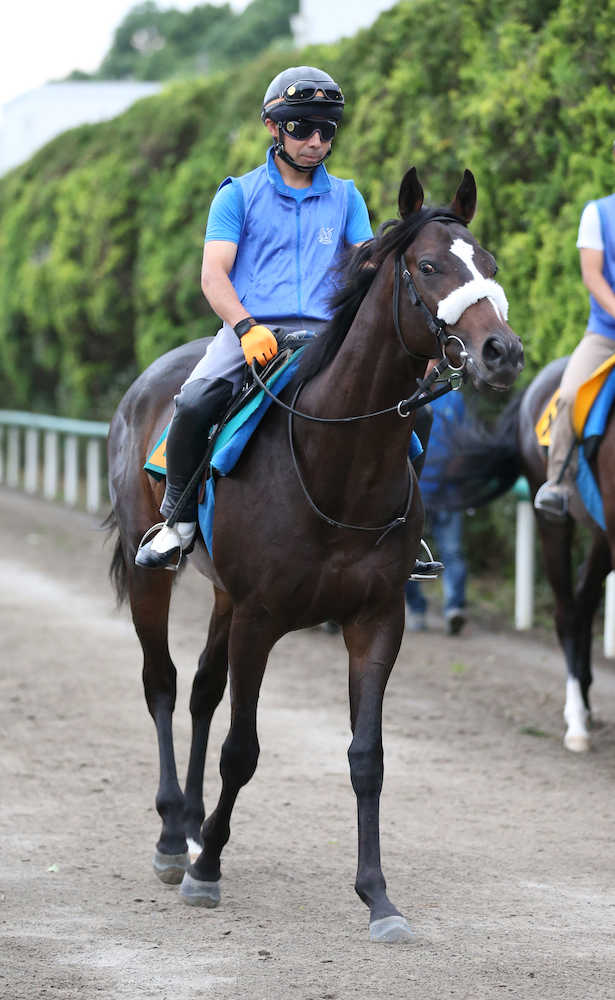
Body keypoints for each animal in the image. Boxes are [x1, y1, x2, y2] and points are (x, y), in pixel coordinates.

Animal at [105, 166, 523, 943]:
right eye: (429, 266)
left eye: (488, 262)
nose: (501, 353)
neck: (340, 462)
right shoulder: (261, 617)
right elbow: (243, 749)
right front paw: (208, 870)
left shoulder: (375, 619)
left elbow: (366, 758)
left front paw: (378, 897)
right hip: (161, 581)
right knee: (163, 684)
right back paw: (175, 837)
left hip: (224, 596)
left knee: (202, 691)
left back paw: (194, 825)